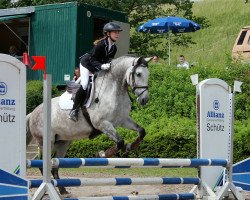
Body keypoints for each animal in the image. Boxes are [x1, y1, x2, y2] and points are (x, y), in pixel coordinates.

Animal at [25, 55, 150, 194]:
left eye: (148, 74)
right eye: (138, 74)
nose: (144, 100)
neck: (114, 89)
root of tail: (32, 113)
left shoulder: (123, 120)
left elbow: (141, 131)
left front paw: (131, 146)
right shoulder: (102, 124)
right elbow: (119, 141)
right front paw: (103, 154)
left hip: (62, 143)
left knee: (54, 165)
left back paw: (63, 190)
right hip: (46, 141)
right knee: (43, 164)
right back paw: (50, 189)